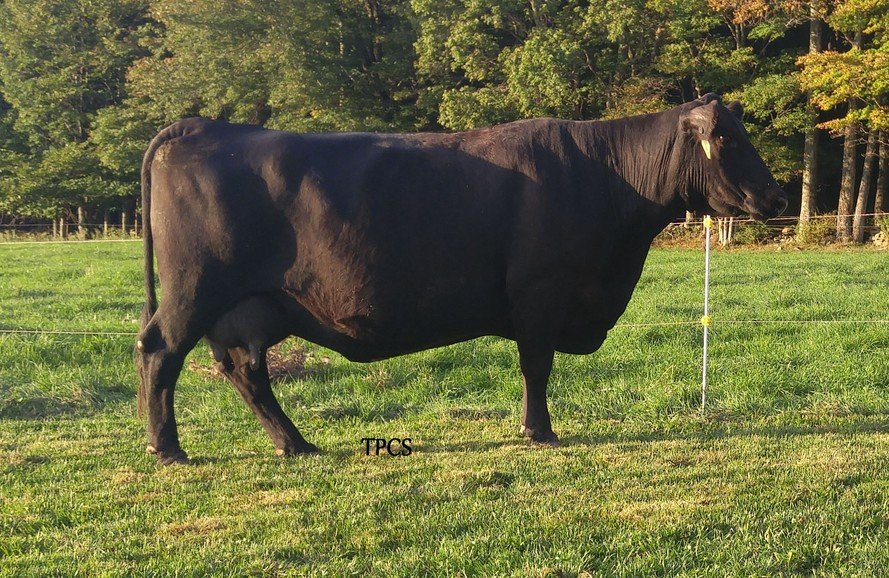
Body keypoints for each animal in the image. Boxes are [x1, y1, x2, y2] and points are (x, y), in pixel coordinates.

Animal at [136, 93, 786, 464]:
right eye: (727, 137)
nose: (776, 195)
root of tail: (203, 126)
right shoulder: (540, 293)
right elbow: (536, 366)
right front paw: (539, 431)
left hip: (244, 307)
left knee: (245, 370)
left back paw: (294, 443)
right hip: (194, 291)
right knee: (159, 351)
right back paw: (168, 449)